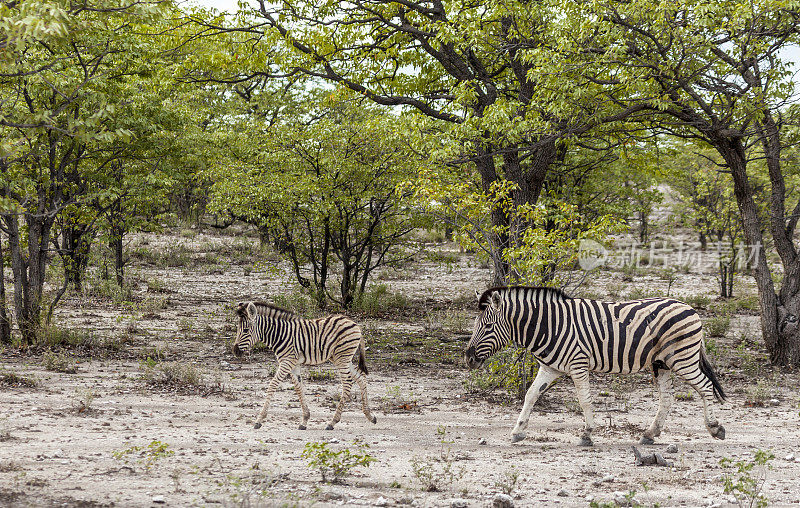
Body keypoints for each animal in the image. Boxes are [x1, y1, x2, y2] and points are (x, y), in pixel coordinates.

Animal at [233, 302, 376, 432]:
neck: (279, 334)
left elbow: (273, 385)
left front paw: (259, 420)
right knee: (361, 378)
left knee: (347, 384)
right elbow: (298, 388)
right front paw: (305, 420)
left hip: (342, 358)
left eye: (245, 330)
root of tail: (354, 323)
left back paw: (332, 422)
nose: (235, 351)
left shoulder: (286, 362)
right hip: (341, 359)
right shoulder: (294, 364)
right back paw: (370, 416)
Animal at [466, 288, 728, 446]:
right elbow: (530, 395)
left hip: (682, 359)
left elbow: (584, 401)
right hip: (660, 363)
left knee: (705, 386)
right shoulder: (550, 367)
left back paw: (715, 428)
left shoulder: (578, 364)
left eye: (487, 326)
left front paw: (587, 434)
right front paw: (518, 431)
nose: (468, 358)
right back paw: (649, 434)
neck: (549, 325)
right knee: (667, 398)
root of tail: (689, 307)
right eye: (477, 324)